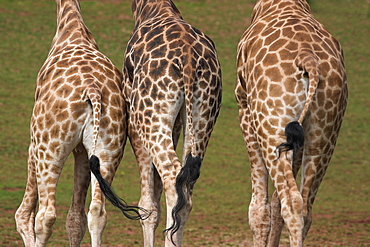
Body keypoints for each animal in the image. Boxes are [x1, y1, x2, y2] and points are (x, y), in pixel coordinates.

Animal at [14, 0, 147, 246]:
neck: (70, 26)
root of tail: (92, 90)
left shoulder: (33, 144)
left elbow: (24, 214)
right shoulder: (82, 151)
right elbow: (75, 218)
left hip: (49, 147)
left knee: (45, 215)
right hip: (108, 148)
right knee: (97, 212)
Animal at [123, 0, 223, 246]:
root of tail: (188, 59)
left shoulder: (133, 118)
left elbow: (147, 204)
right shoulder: (176, 123)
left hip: (148, 115)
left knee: (172, 179)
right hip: (203, 114)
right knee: (185, 188)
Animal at [237, 0, 346, 246]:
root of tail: (308, 59)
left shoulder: (245, 110)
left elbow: (259, 209)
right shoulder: (298, 139)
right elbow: (274, 205)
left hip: (271, 125)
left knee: (291, 202)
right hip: (324, 133)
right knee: (305, 208)